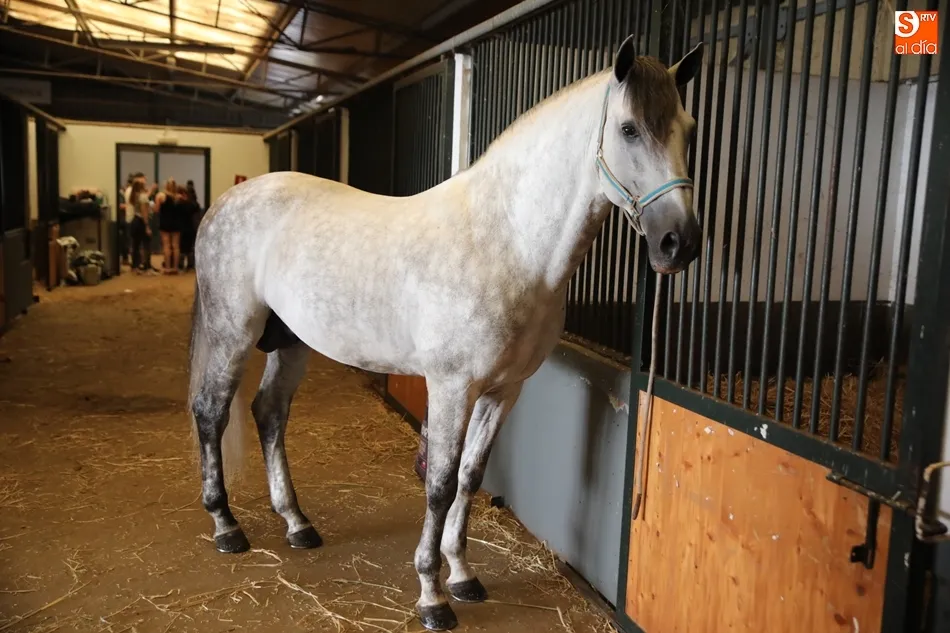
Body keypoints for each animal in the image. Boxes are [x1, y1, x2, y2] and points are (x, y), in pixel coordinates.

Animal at [187, 35, 704, 631]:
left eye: (688, 129)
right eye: (628, 129)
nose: (679, 243)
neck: (508, 243)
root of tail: (226, 202)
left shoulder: (505, 390)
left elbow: (471, 478)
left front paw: (462, 576)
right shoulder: (452, 388)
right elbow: (438, 484)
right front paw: (432, 597)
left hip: (291, 341)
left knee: (269, 412)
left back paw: (297, 523)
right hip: (232, 331)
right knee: (212, 412)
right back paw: (226, 527)